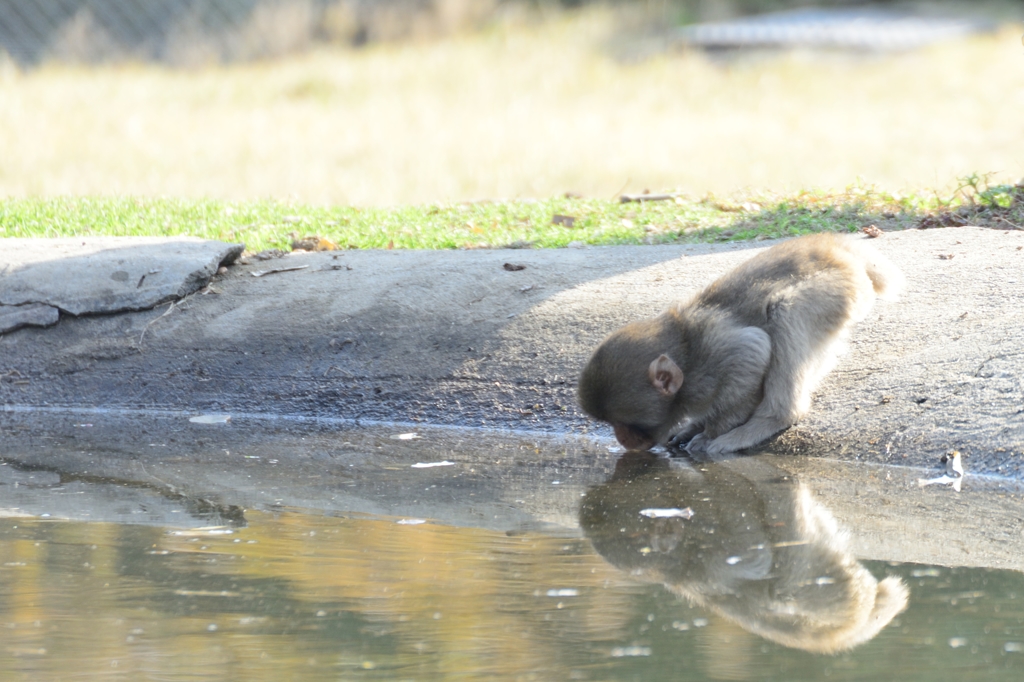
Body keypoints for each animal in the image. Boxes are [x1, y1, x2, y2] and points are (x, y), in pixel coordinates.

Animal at [577, 232, 905, 450]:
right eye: (613, 425)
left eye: (626, 424)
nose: (621, 440)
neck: (685, 352)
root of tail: (833, 245)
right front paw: (693, 427)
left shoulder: (714, 357)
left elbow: (752, 349)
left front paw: (710, 433)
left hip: (837, 288)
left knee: (785, 311)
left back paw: (774, 418)